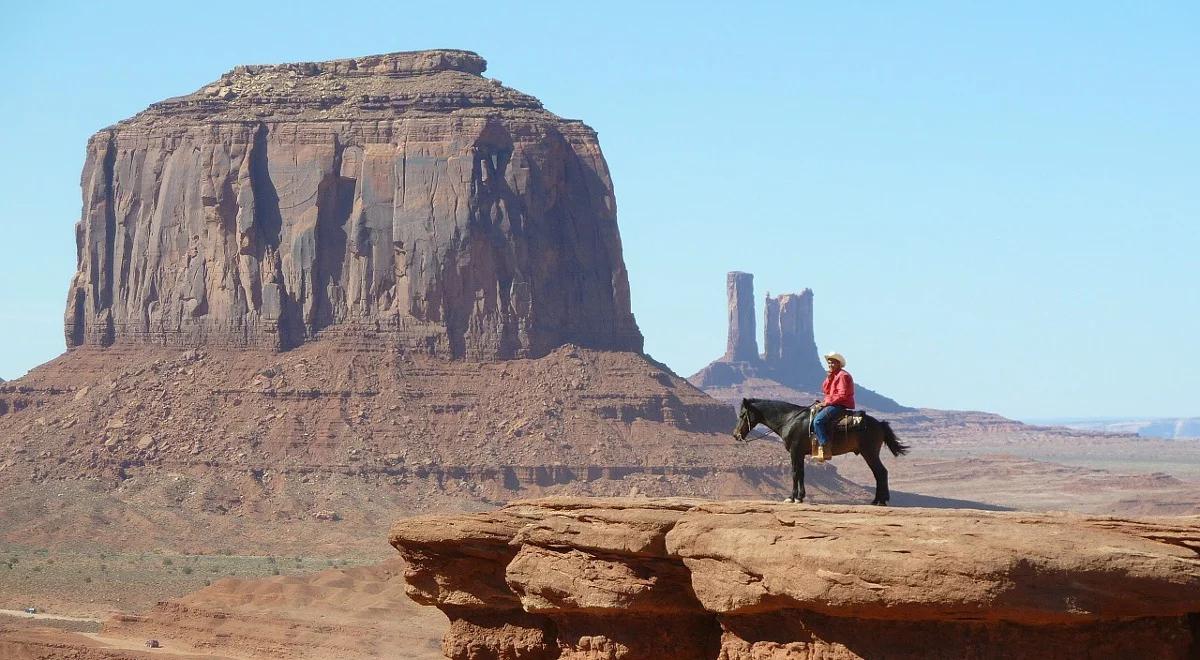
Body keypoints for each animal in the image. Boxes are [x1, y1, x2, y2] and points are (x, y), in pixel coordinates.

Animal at [729, 398, 907, 506]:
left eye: (742, 414)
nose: (735, 435)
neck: (790, 420)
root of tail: (880, 424)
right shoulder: (800, 453)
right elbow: (801, 473)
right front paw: (800, 497)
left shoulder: (794, 451)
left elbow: (795, 473)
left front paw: (792, 497)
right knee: (879, 473)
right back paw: (877, 500)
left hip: (869, 452)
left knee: (881, 472)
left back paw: (881, 501)